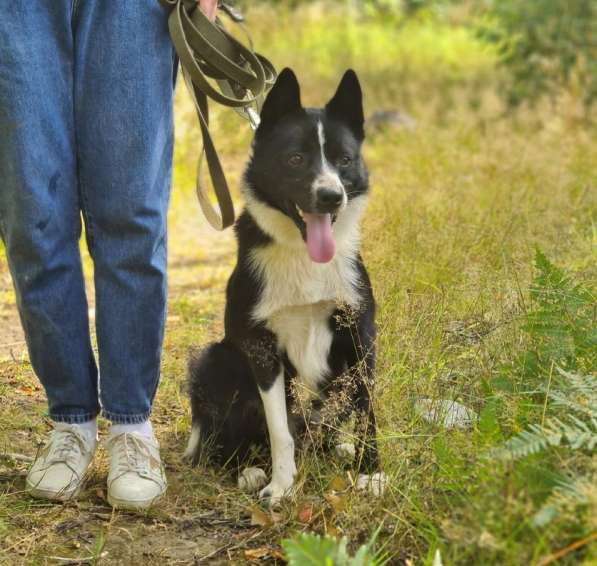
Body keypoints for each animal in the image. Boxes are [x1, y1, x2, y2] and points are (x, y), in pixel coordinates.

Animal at [184, 69, 384, 504]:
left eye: (344, 160)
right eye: (296, 159)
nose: (331, 197)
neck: (303, 255)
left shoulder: (360, 334)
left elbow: (367, 411)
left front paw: (372, 472)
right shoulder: (261, 348)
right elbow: (280, 427)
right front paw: (281, 485)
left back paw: (337, 448)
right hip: (215, 359)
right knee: (224, 437)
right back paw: (246, 469)